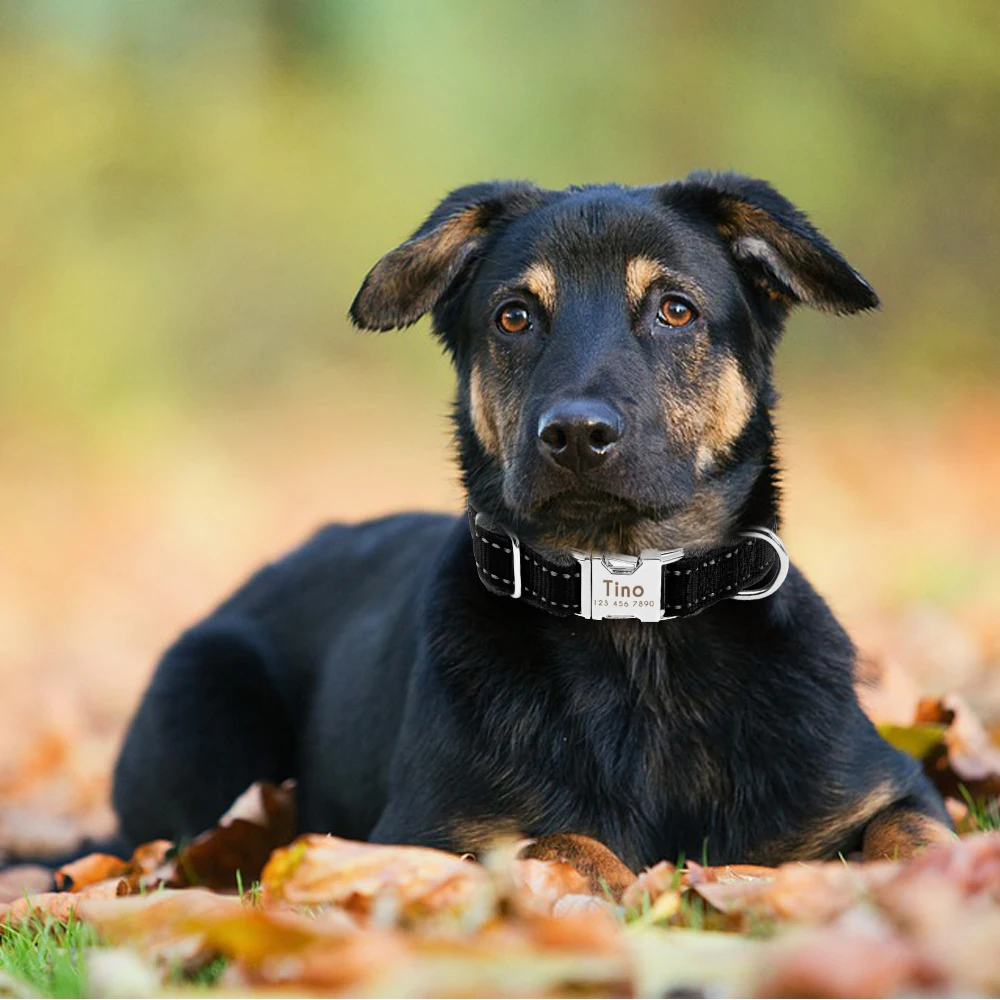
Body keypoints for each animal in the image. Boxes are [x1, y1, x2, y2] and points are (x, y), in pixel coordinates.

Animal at [111, 174, 952, 892]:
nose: (576, 435)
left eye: (675, 309)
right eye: (513, 316)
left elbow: (924, 838)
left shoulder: (887, 787)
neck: (630, 618)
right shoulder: (420, 833)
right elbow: (556, 839)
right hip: (206, 708)